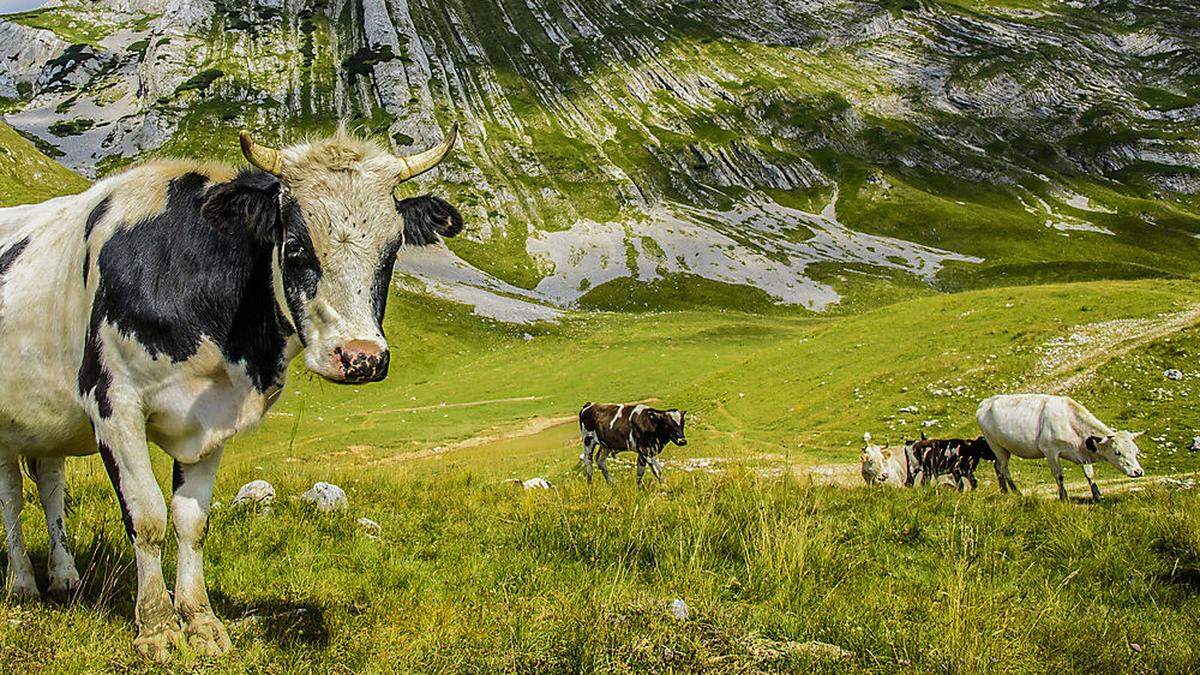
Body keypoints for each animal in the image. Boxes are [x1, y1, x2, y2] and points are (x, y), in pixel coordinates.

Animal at [0, 126, 460, 658]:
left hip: (41, 425)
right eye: (296, 247)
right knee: (12, 500)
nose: (362, 357)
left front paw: (200, 621)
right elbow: (148, 517)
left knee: (48, 484)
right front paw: (156, 626)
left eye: (392, 250)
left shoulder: (214, 420)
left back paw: (63, 577)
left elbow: (191, 522)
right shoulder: (114, 405)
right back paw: (23, 584)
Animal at [974, 391, 1142, 497]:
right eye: (1117, 452)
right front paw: (1064, 497)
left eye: (1136, 451)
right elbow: (1059, 475)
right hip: (995, 445)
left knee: (997, 467)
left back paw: (1004, 492)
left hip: (1002, 448)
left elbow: (1090, 475)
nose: (1138, 472)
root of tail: (986, 402)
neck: (1069, 421)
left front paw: (1097, 495)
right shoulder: (1050, 451)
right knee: (1003, 469)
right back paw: (1016, 493)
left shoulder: (1083, 455)